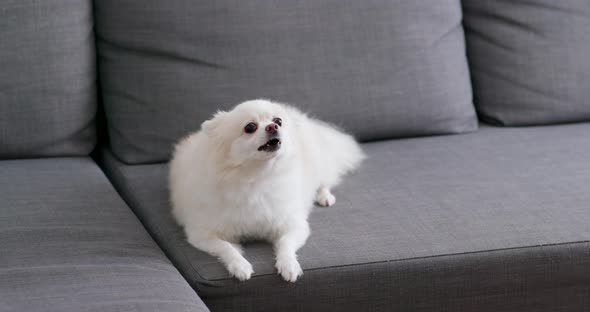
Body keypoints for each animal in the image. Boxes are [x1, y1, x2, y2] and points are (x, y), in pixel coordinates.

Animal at [169, 99, 366, 282]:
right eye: (250, 127)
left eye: (278, 121)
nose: (273, 126)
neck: (258, 177)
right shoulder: (201, 234)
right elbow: (226, 248)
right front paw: (240, 266)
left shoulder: (294, 224)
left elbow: (286, 243)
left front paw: (289, 265)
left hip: (319, 163)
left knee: (325, 179)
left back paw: (324, 196)